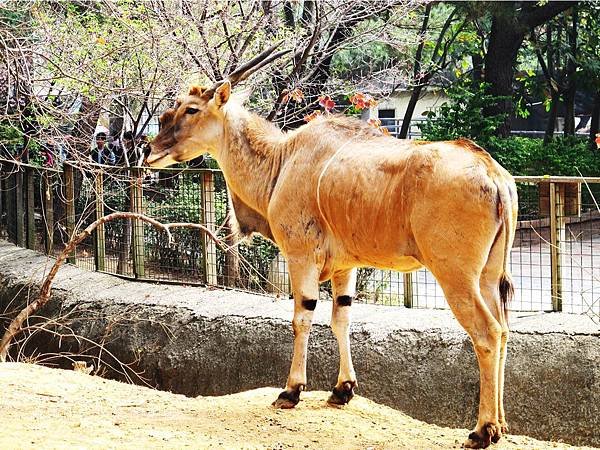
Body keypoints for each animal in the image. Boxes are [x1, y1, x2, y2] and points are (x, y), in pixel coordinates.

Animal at [145, 44, 516, 446]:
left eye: (190, 109)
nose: (150, 150)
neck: (282, 160)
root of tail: (493, 174)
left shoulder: (300, 256)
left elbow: (301, 318)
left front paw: (291, 391)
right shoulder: (345, 268)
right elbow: (341, 319)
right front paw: (342, 390)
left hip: (455, 276)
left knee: (487, 332)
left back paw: (482, 430)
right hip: (487, 277)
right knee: (504, 330)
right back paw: (501, 425)